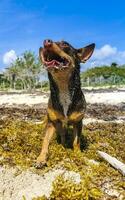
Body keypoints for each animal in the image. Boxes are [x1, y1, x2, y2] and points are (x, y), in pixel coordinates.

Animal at [35, 39, 95, 167]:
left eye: (65, 44)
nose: (46, 41)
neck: (63, 87)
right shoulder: (52, 123)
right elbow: (45, 141)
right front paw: (41, 158)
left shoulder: (78, 123)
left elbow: (76, 141)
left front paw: (78, 155)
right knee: (60, 134)